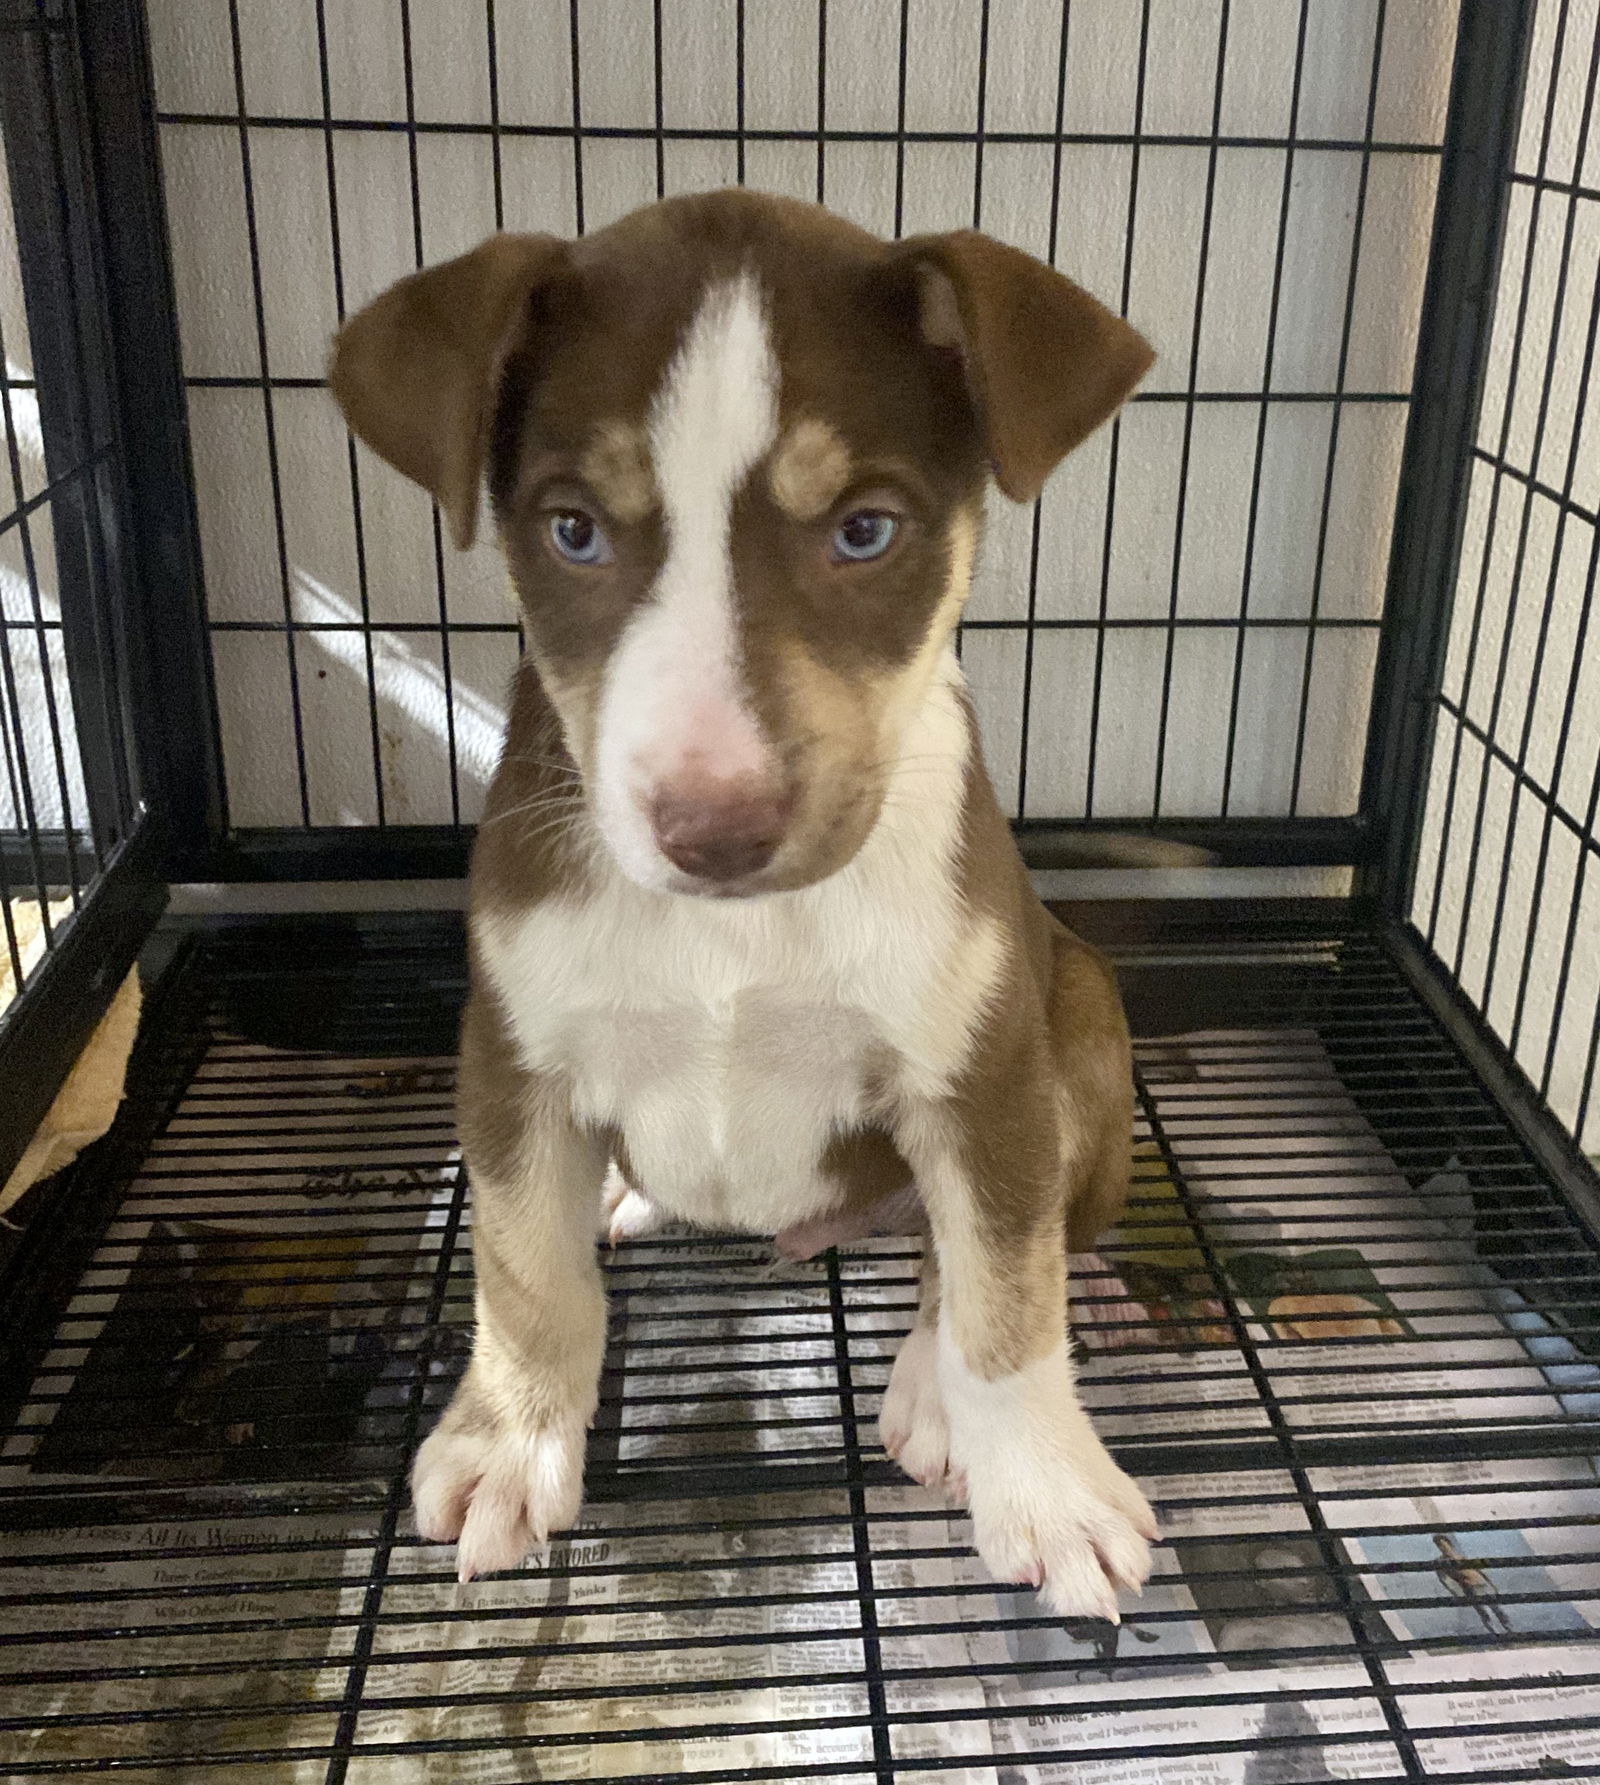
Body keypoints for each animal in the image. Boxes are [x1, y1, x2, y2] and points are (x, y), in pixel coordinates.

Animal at [333, 191, 1164, 1620]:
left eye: (866, 531)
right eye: (572, 531)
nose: (714, 827)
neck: (733, 937)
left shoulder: (982, 1070)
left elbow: (1008, 1294)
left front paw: (1048, 1490)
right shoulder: (511, 1058)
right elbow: (522, 1269)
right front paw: (508, 1441)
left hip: (1075, 1009)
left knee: (994, 1244)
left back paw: (934, 1389)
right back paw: (624, 1197)